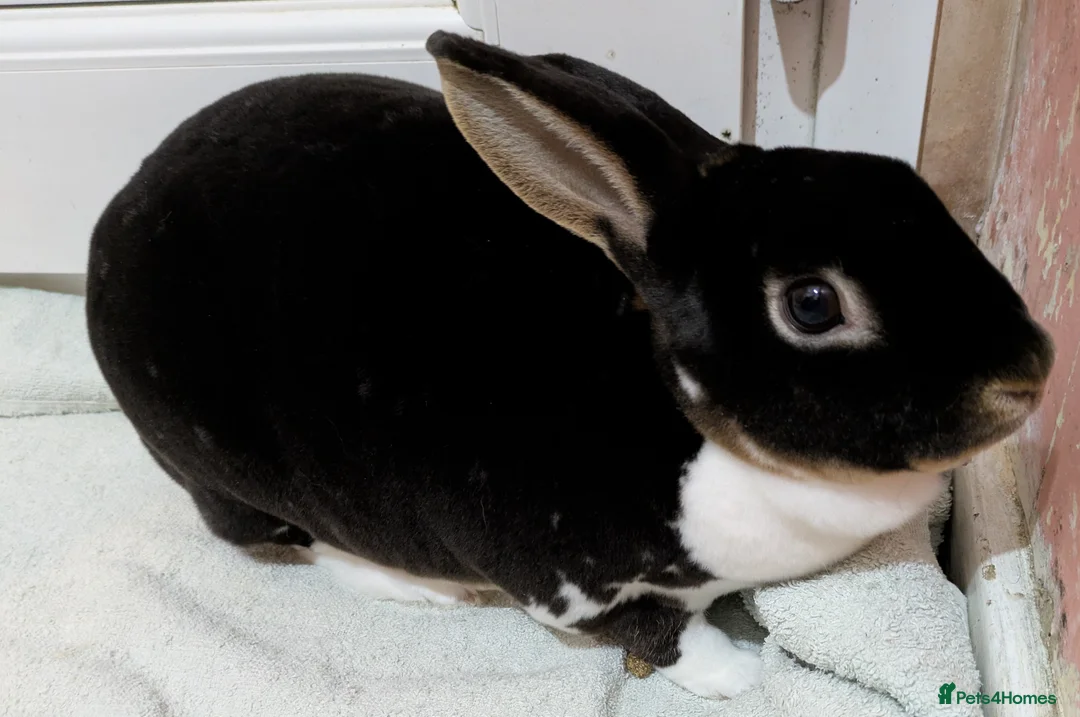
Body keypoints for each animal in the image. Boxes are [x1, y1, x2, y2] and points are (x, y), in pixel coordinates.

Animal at [86, 30, 1054, 700]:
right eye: (813, 303)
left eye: (913, 188)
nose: (1031, 373)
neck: (685, 417)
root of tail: (112, 220)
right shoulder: (573, 582)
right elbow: (661, 635)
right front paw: (741, 673)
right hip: (235, 479)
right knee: (286, 539)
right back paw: (416, 588)